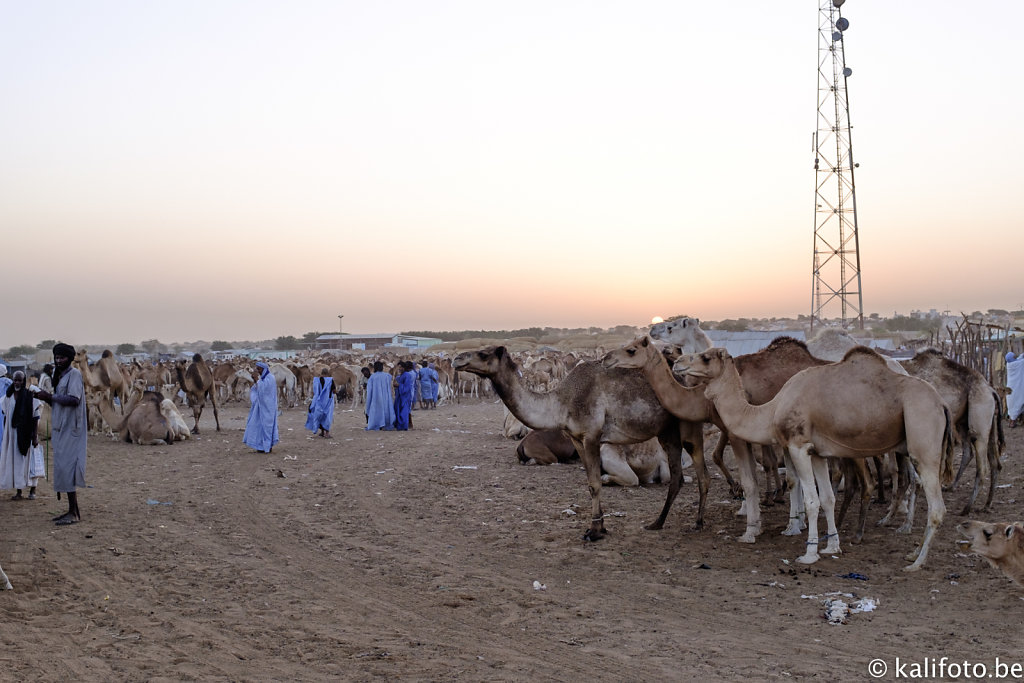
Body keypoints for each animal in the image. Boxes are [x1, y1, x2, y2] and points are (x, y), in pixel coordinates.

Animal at [452, 348, 708, 540]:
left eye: (484, 354)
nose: (457, 359)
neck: (562, 402)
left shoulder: (593, 435)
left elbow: (595, 483)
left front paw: (594, 532)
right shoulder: (576, 438)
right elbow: (590, 482)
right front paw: (600, 526)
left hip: (687, 425)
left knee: (700, 472)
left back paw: (697, 523)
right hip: (667, 432)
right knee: (677, 476)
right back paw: (658, 522)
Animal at [679, 348, 950, 573]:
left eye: (705, 357)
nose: (679, 362)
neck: (771, 410)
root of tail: (942, 403)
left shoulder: (798, 446)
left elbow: (812, 500)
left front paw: (809, 553)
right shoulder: (818, 453)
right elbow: (828, 498)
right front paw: (831, 547)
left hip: (922, 437)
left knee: (937, 507)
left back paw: (916, 562)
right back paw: (913, 552)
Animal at [901, 348, 1003, 511]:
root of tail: (991, 390)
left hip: (979, 410)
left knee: (981, 463)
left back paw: (967, 507)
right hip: (972, 421)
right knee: (990, 461)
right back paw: (984, 503)